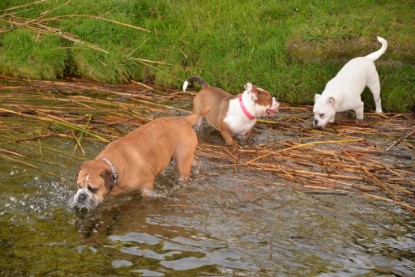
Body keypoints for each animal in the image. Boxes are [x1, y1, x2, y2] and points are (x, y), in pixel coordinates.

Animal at [72, 112, 208, 209]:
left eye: (93, 189)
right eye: (79, 185)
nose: (81, 196)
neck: (114, 166)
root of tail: (184, 120)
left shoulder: (147, 183)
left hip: (182, 162)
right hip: (186, 156)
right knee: (196, 161)